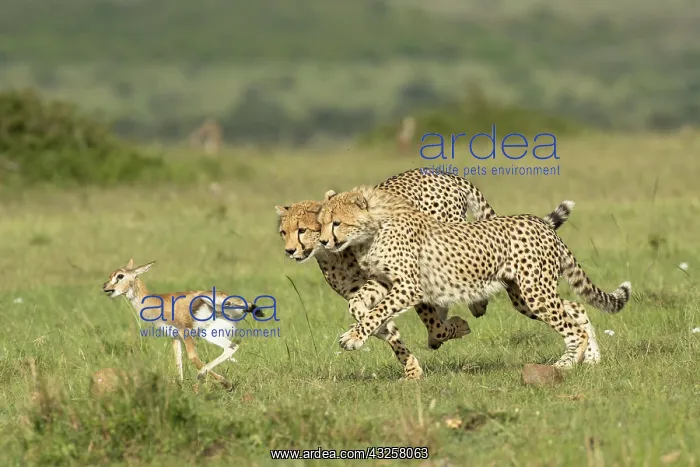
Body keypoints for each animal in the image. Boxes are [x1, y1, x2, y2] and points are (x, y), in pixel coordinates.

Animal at [276, 168, 578, 378]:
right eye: (283, 232)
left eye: (303, 229)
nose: (290, 250)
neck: (338, 254)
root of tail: (448, 174)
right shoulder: (373, 287)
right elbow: (371, 316)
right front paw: (407, 362)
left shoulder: (411, 283)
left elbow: (431, 323)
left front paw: (450, 329)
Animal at [316, 185, 631, 371]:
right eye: (320, 224)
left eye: (337, 223)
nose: (323, 242)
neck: (374, 228)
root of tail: (543, 225)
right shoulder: (385, 280)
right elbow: (359, 303)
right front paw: (368, 326)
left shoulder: (409, 287)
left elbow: (377, 311)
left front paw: (354, 337)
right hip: (525, 297)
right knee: (576, 308)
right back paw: (590, 359)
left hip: (535, 293)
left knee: (573, 326)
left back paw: (565, 364)